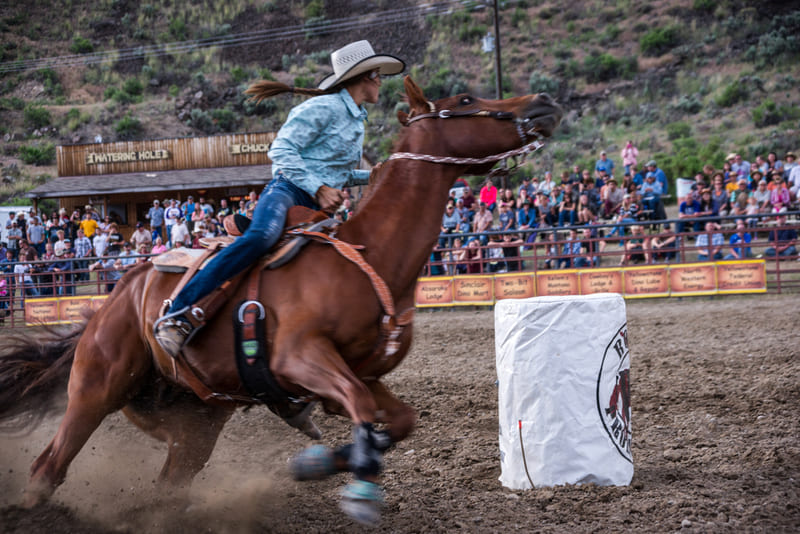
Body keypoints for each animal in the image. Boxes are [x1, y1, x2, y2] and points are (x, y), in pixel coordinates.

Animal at [0, 76, 564, 528]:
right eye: (466, 100)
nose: (543, 102)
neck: (371, 256)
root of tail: (118, 296)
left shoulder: (364, 373)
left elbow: (398, 421)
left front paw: (321, 462)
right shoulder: (301, 358)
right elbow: (363, 411)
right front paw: (357, 490)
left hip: (196, 421)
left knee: (168, 484)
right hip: (96, 388)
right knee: (49, 467)